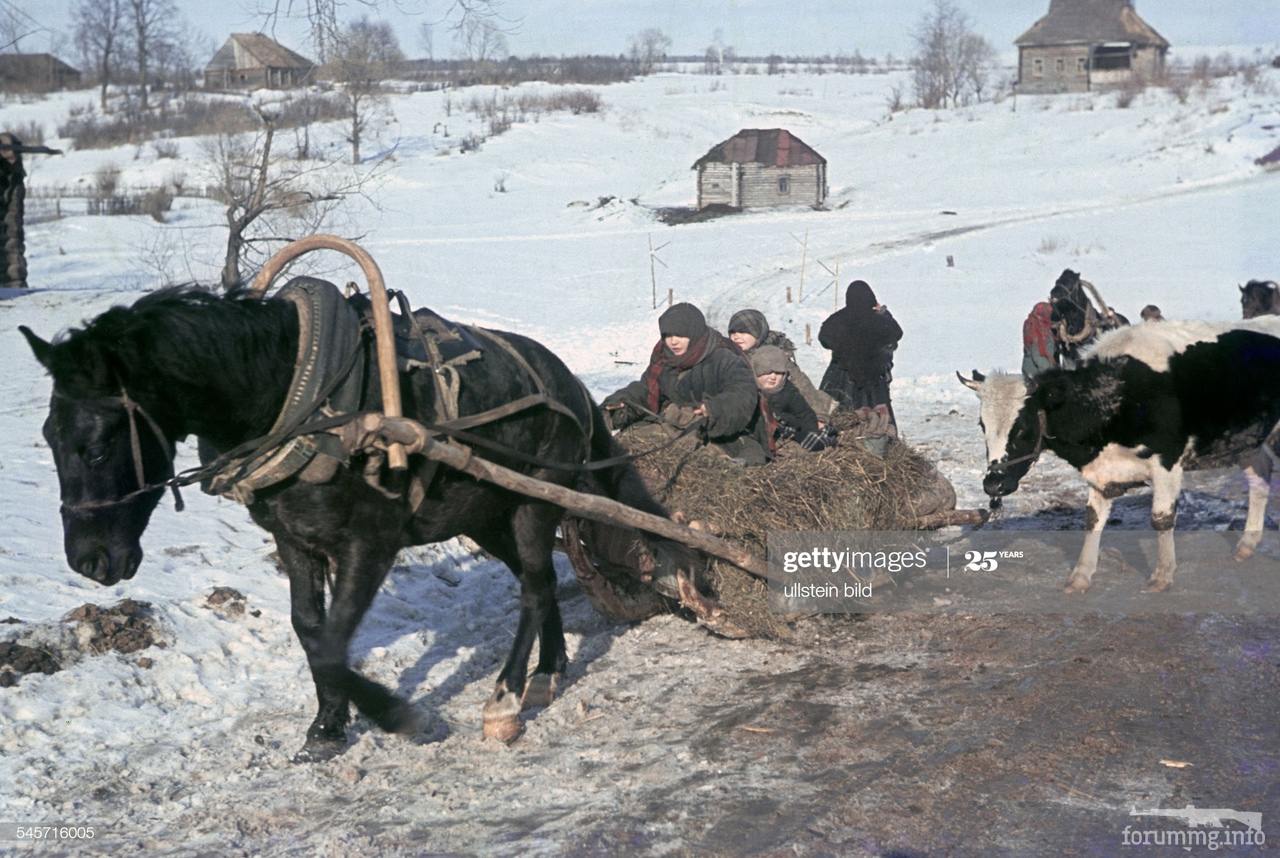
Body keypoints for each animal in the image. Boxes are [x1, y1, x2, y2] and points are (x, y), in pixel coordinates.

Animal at [17, 281, 691, 758]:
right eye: (47, 436)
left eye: (97, 446)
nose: (89, 560)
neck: (298, 399)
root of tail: (568, 383)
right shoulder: (295, 541)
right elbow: (309, 630)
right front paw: (327, 726)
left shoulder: (369, 543)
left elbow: (332, 643)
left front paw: (396, 715)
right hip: (486, 514)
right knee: (542, 581)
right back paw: (548, 671)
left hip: (532, 501)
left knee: (532, 586)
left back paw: (504, 700)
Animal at [962, 318, 1280, 594]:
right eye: (982, 425)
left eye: (1023, 429)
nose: (993, 484)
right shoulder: (1101, 472)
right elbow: (1092, 520)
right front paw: (1080, 577)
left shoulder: (1167, 461)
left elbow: (1161, 518)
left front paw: (1162, 576)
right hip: (1249, 441)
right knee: (1260, 478)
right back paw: (1246, 545)